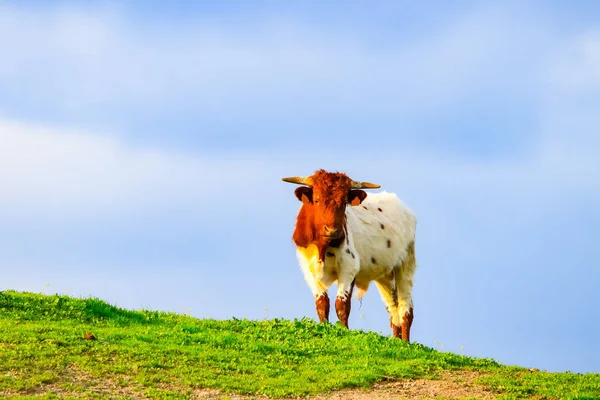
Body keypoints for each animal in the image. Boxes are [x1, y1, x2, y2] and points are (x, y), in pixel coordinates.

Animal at [282, 168, 418, 340]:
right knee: (392, 307)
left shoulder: (349, 266)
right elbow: (322, 303)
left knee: (406, 307)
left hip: (406, 264)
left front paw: (344, 331)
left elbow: (342, 304)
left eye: (344, 202)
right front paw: (324, 327)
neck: (322, 248)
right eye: (317, 199)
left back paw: (405, 342)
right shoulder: (308, 269)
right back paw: (396, 340)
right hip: (385, 275)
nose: (332, 230)